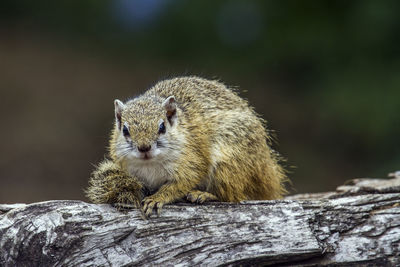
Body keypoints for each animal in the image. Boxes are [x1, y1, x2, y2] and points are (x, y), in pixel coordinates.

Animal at [86, 76, 288, 218]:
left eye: (162, 127)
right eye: (125, 130)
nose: (144, 148)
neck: (150, 164)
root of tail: (266, 170)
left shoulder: (193, 161)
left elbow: (180, 184)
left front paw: (157, 198)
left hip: (229, 163)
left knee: (232, 195)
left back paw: (204, 195)